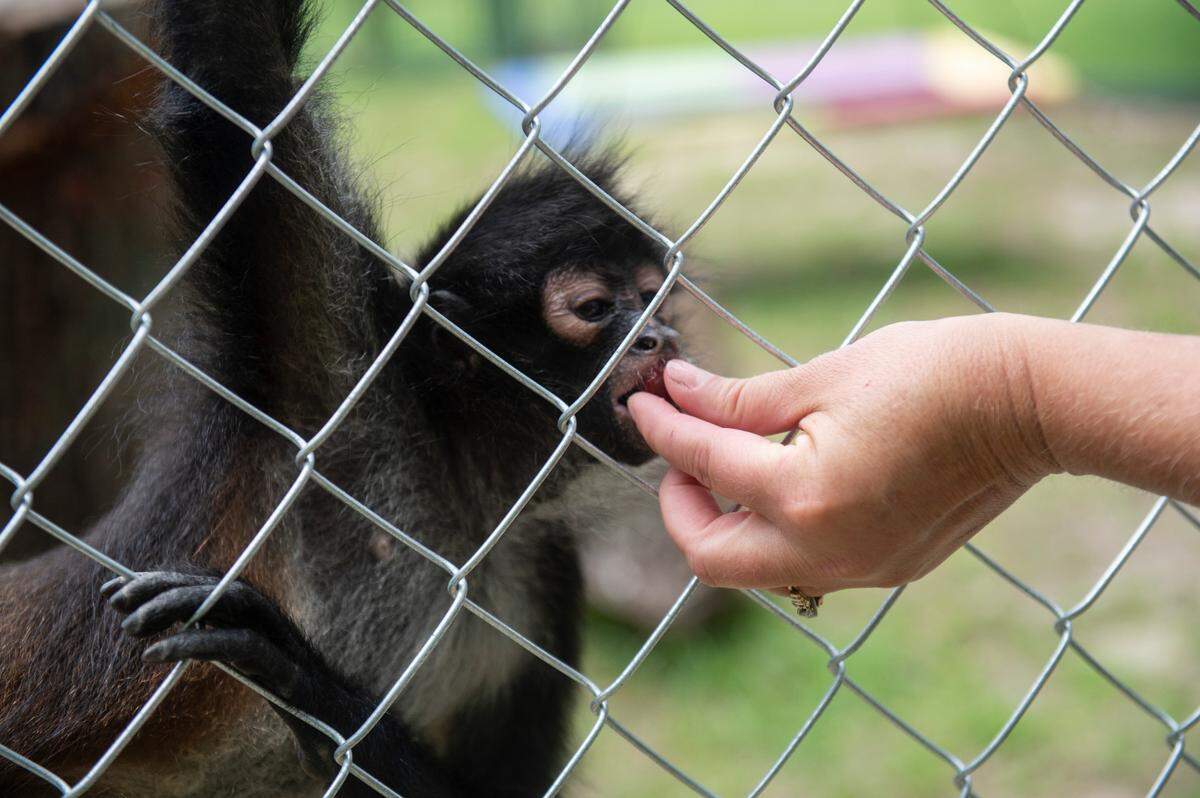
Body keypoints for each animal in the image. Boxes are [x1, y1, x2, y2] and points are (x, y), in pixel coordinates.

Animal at [0, 0, 682, 795]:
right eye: (598, 308)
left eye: (654, 296)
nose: (661, 335)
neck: (455, 490)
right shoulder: (328, 378)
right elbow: (242, 74)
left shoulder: (542, 564)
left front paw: (296, 678)